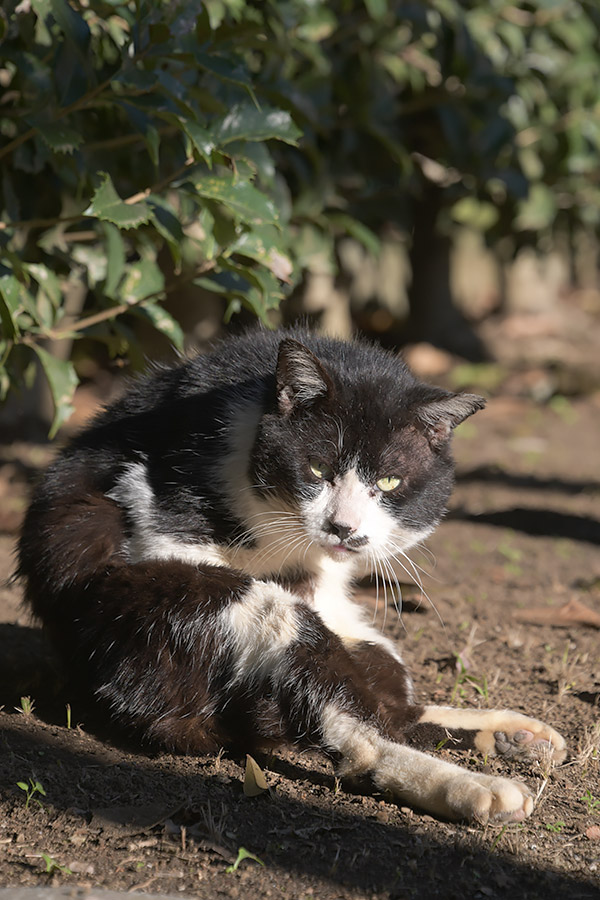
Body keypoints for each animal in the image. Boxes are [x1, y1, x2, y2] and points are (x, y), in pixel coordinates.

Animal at [16, 328, 564, 824]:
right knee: (357, 731)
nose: (342, 527)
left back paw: (517, 735)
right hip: (190, 607)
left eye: (389, 482)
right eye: (318, 469)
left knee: (389, 698)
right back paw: (483, 791)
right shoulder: (155, 517)